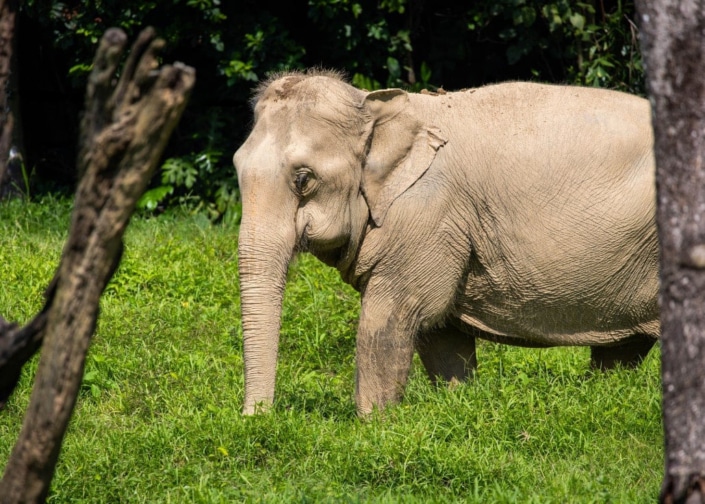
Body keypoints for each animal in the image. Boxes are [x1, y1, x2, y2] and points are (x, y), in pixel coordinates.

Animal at [233, 69, 659, 415]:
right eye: (237, 168)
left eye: (303, 179)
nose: (257, 420)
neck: (374, 105)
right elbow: (440, 333)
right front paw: (457, 403)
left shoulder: (427, 218)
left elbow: (391, 317)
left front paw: (372, 425)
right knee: (622, 349)